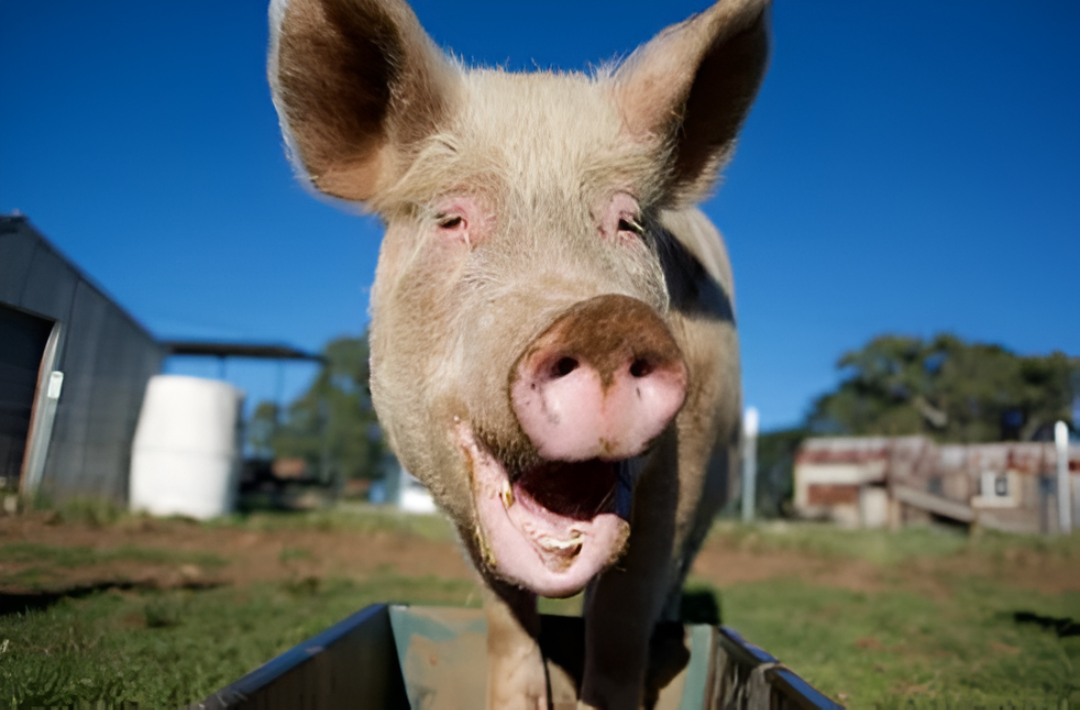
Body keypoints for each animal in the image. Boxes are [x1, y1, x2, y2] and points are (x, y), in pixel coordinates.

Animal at [268, 0, 769, 707]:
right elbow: (504, 612)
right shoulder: (450, 494)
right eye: (451, 219)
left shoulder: (682, 472)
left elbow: (623, 616)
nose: (604, 321)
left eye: (628, 224)